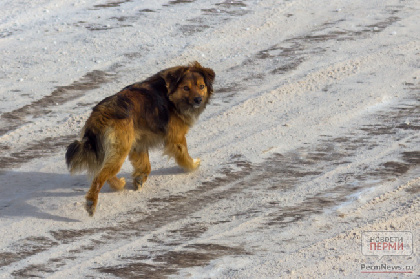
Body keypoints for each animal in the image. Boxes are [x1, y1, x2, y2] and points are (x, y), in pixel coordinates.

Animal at [66, 62, 217, 218]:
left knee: (103, 172)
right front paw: (193, 165)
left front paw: (139, 178)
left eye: (201, 86)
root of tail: (100, 115)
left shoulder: (139, 142)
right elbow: (184, 156)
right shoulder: (176, 138)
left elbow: (145, 164)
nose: (198, 99)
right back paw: (92, 202)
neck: (169, 96)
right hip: (120, 149)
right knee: (99, 177)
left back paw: (118, 185)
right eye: (186, 88)